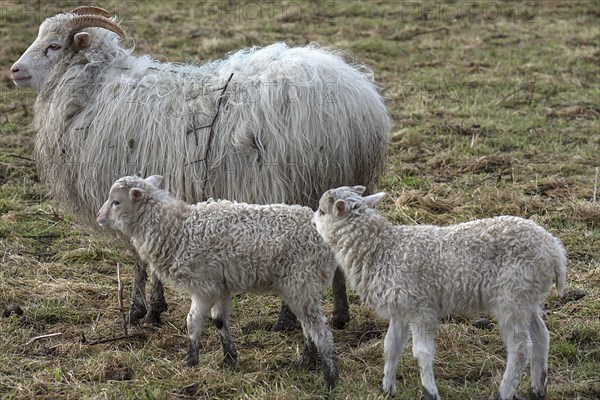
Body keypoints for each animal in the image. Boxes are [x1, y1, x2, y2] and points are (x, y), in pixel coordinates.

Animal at [10, 6, 390, 330]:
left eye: (54, 46)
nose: (13, 70)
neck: (94, 88)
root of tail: (362, 100)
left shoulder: (127, 188)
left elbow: (139, 257)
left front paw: (137, 311)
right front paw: (156, 307)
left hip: (299, 183)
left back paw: (285, 320)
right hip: (334, 181)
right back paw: (340, 315)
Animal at [94, 173, 338, 390]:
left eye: (116, 202)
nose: (98, 218)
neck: (175, 228)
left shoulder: (204, 286)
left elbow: (192, 321)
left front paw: (190, 360)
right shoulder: (220, 285)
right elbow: (219, 320)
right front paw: (229, 358)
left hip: (302, 281)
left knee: (319, 329)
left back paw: (330, 377)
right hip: (300, 286)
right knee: (308, 326)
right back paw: (305, 363)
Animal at [312, 186, 568, 398]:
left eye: (322, 211)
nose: (312, 222)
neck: (384, 250)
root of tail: (554, 249)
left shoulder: (420, 309)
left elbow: (422, 353)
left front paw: (429, 391)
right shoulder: (400, 308)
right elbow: (391, 347)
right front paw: (387, 388)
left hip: (512, 297)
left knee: (520, 347)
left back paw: (503, 392)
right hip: (528, 298)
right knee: (541, 336)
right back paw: (537, 389)